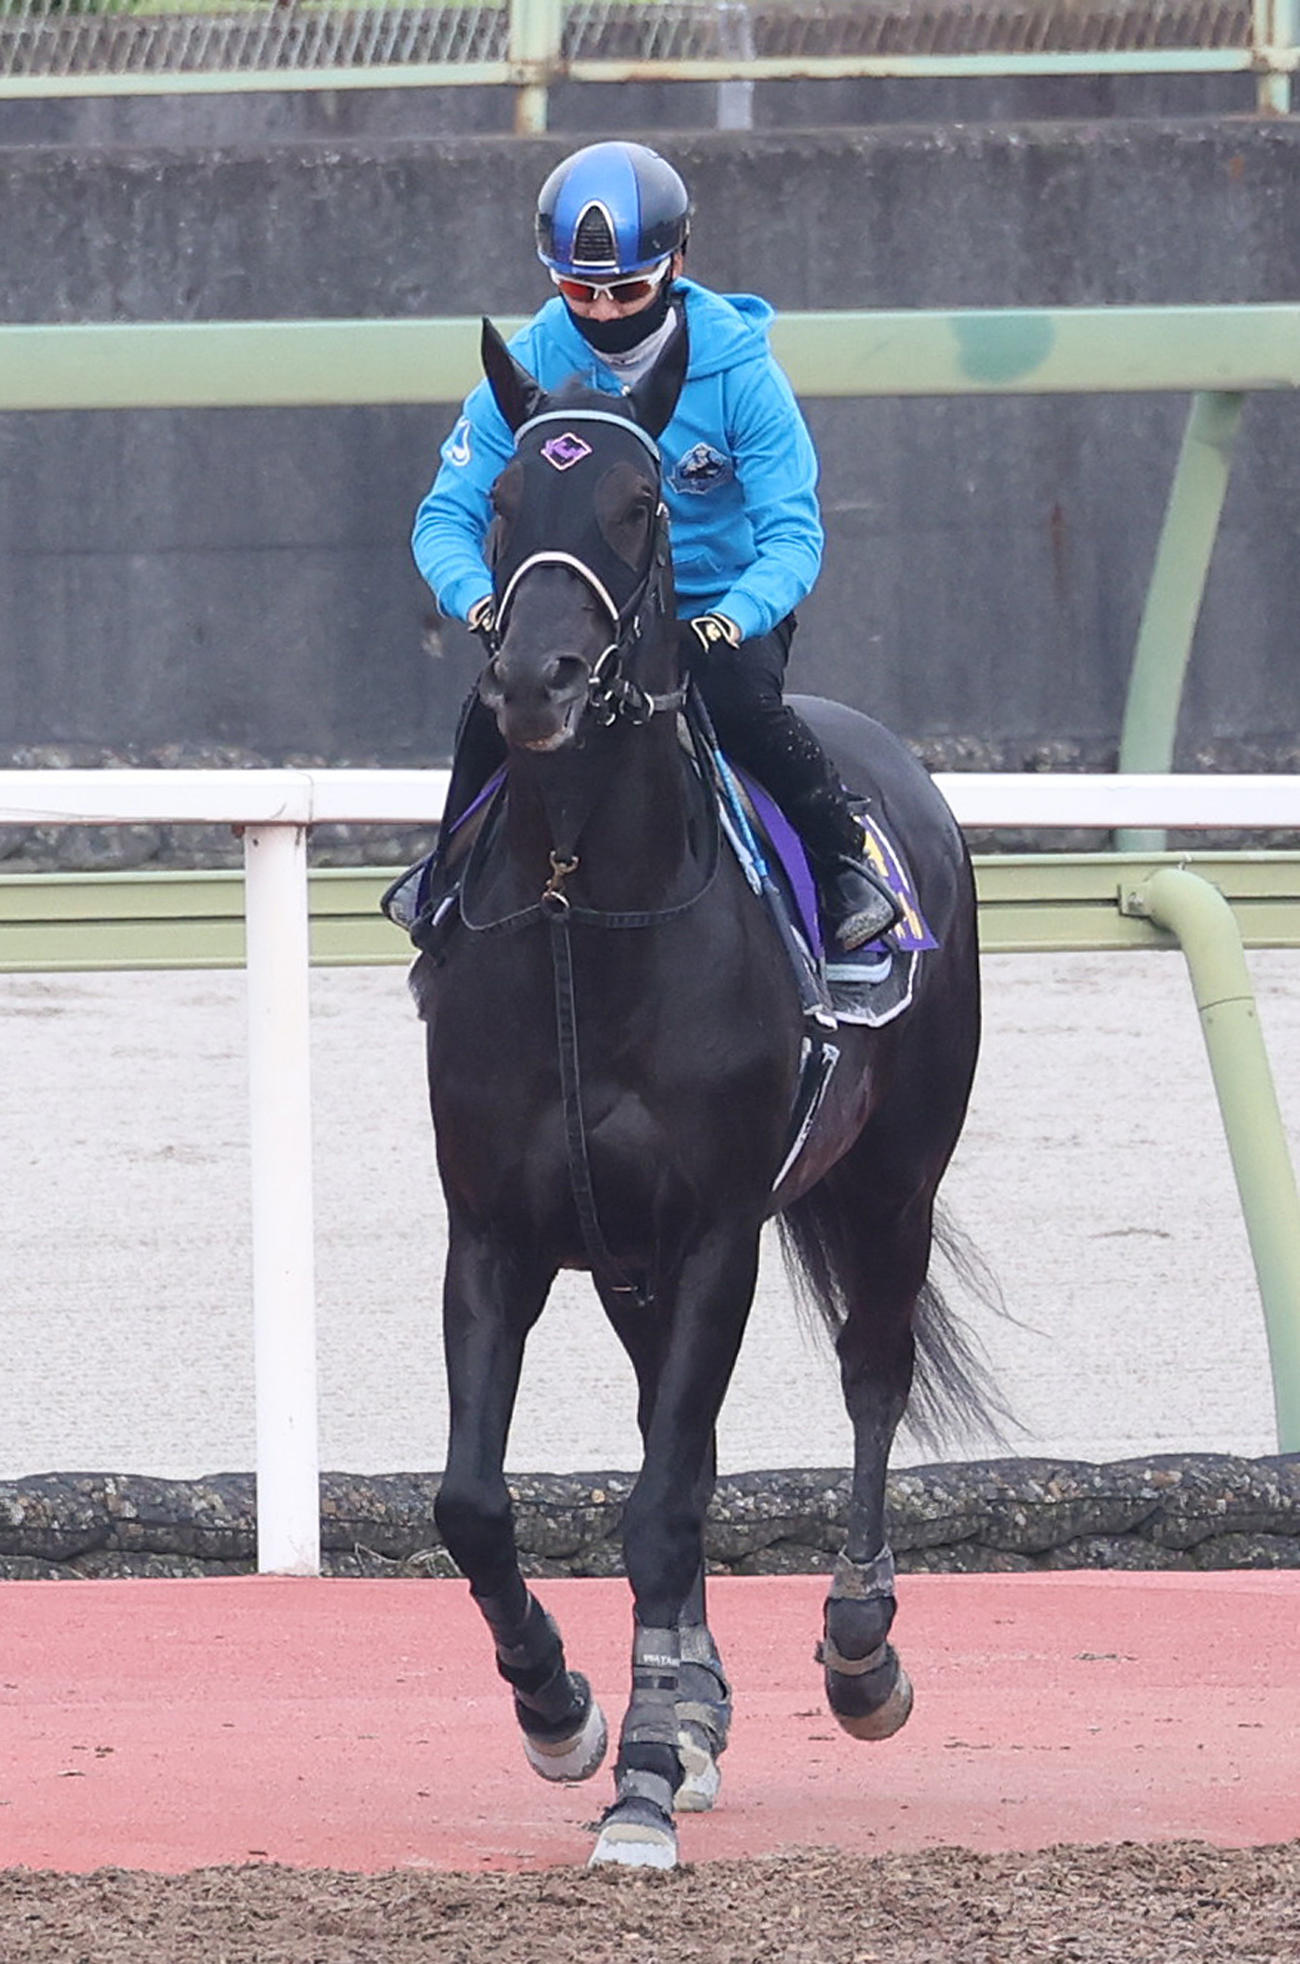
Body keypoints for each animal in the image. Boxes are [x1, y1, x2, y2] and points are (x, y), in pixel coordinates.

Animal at [407, 315, 990, 1870]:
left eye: (644, 500)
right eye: (502, 499)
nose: (535, 681)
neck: (580, 916)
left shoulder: (719, 1227)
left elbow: (664, 1509)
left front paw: (644, 1784)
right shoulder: (497, 1231)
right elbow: (477, 1501)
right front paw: (567, 1710)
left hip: (893, 1180)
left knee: (870, 1373)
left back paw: (858, 1649)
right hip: (631, 1266)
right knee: (692, 1437)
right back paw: (694, 1698)